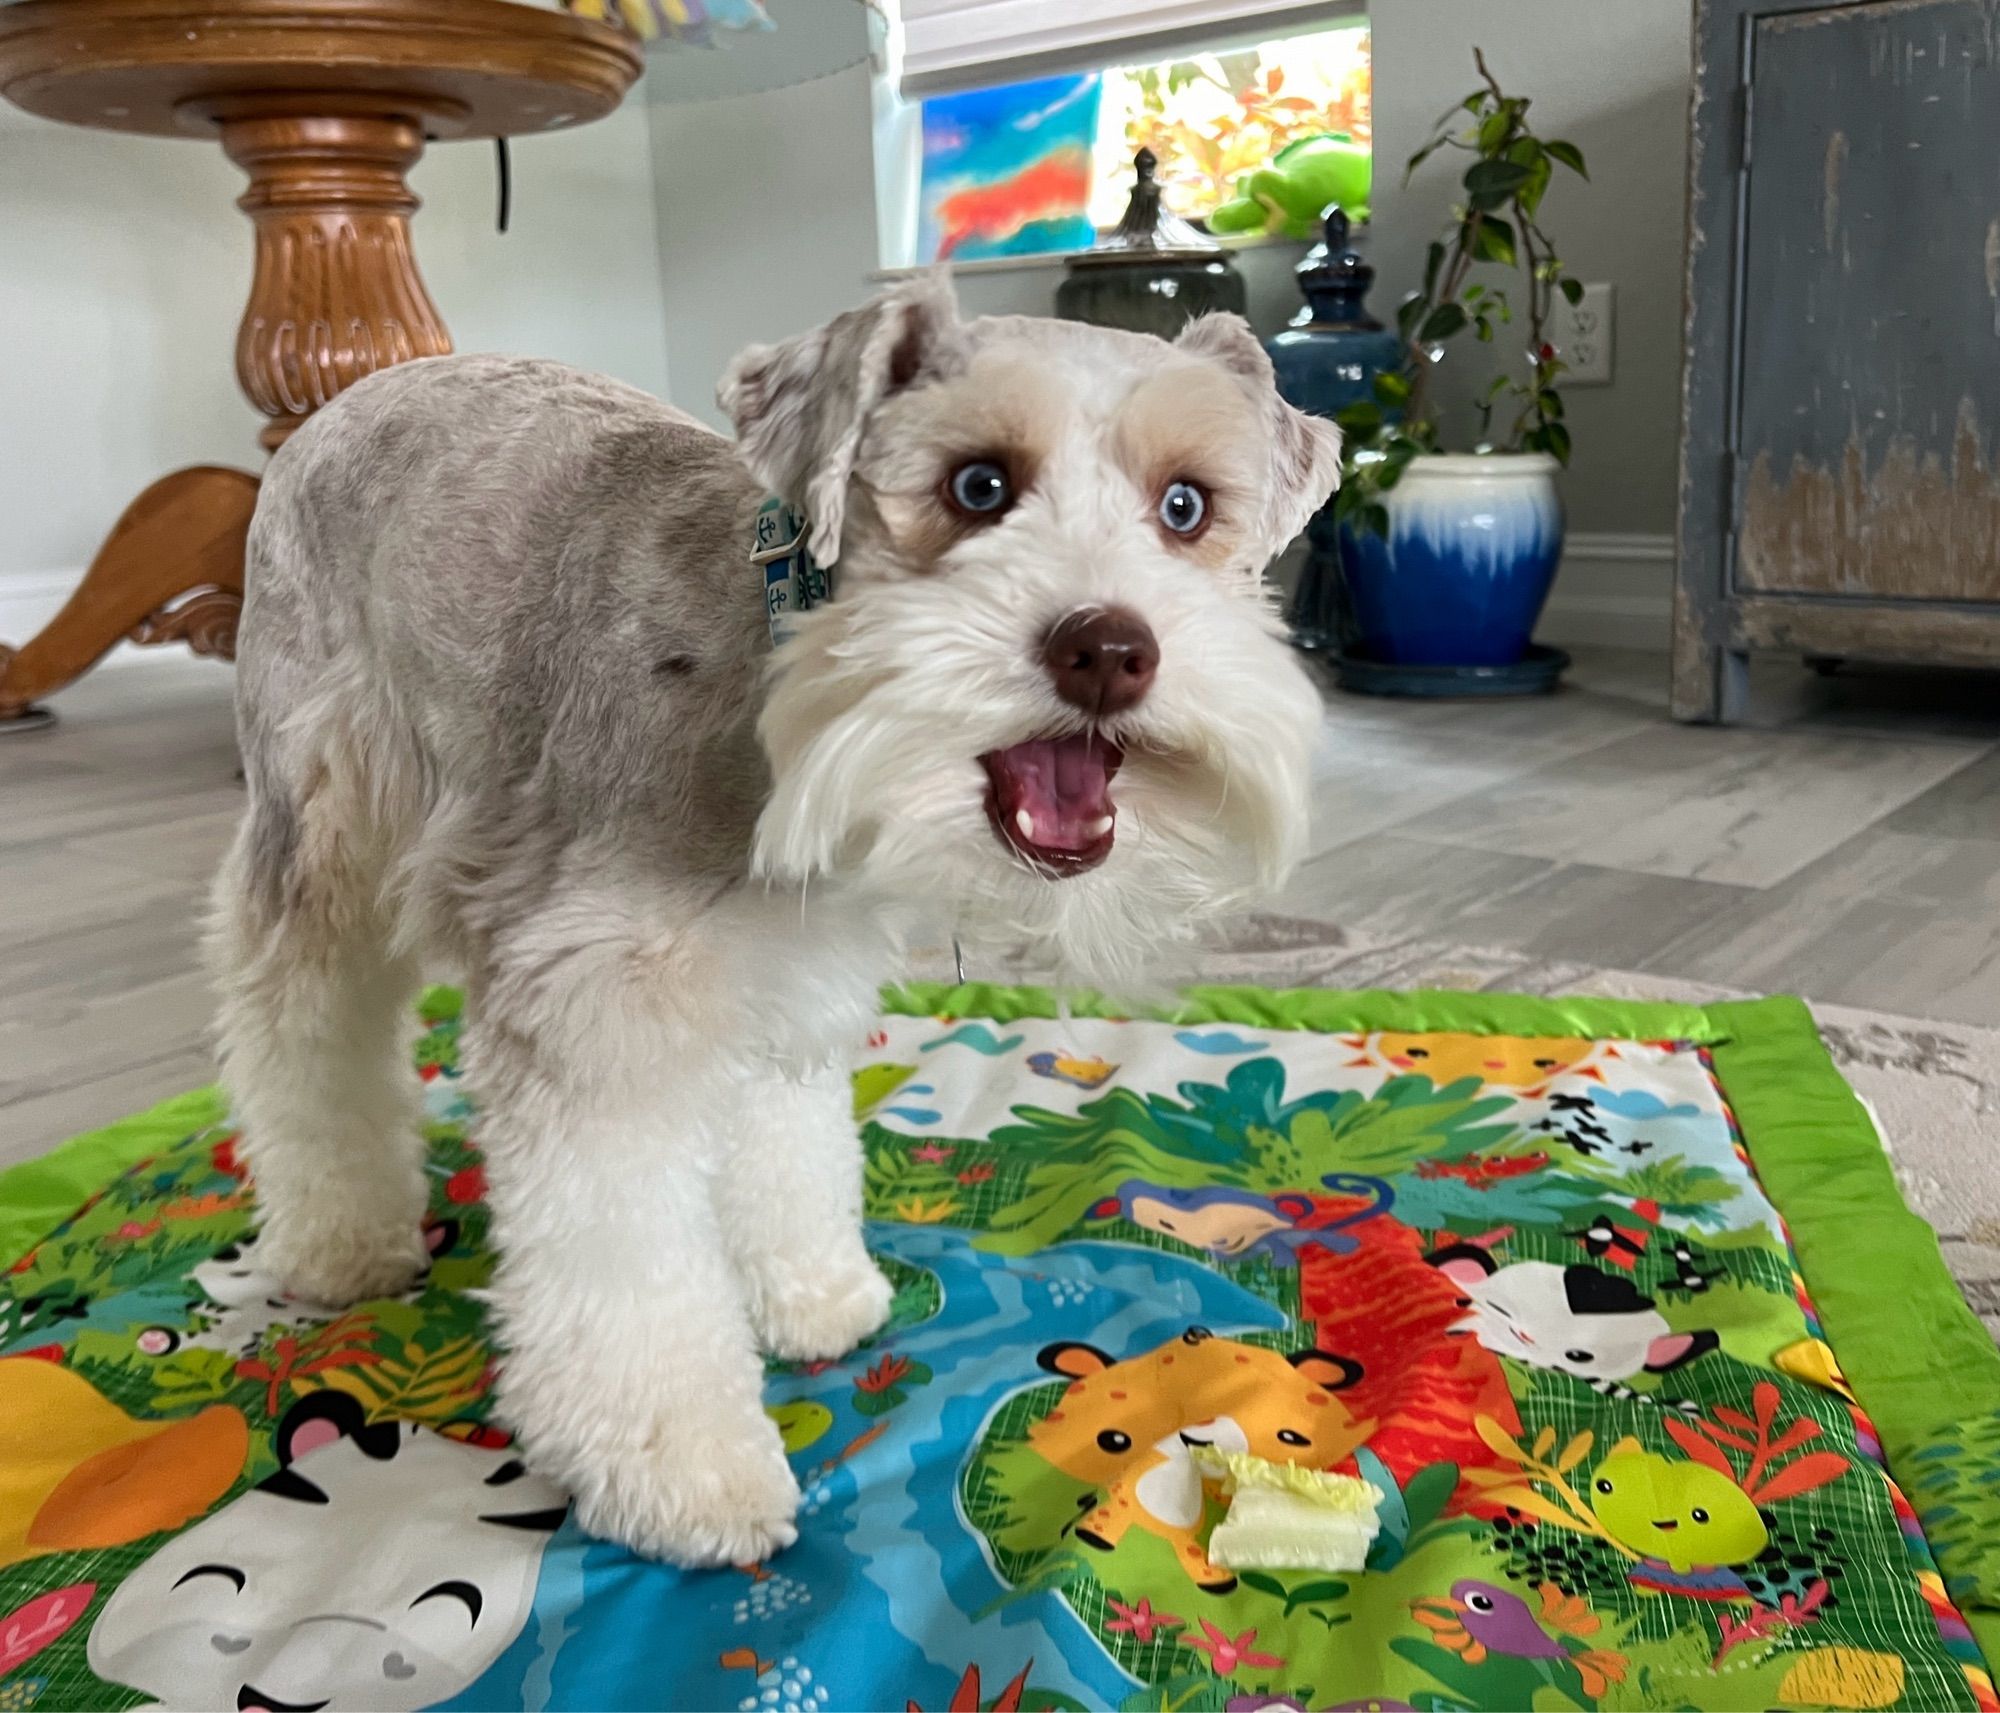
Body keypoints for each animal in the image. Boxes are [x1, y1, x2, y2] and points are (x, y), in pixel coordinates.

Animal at [207, 278, 1344, 1568]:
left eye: (1184, 505)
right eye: (977, 486)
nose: (1107, 648)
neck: (775, 672)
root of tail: (356, 390)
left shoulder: (787, 969)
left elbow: (784, 1147)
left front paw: (808, 1292)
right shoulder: (597, 1008)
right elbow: (626, 1263)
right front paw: (681, 1469)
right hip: (319, 826)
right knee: (296, 1024)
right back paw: (340, 1241)